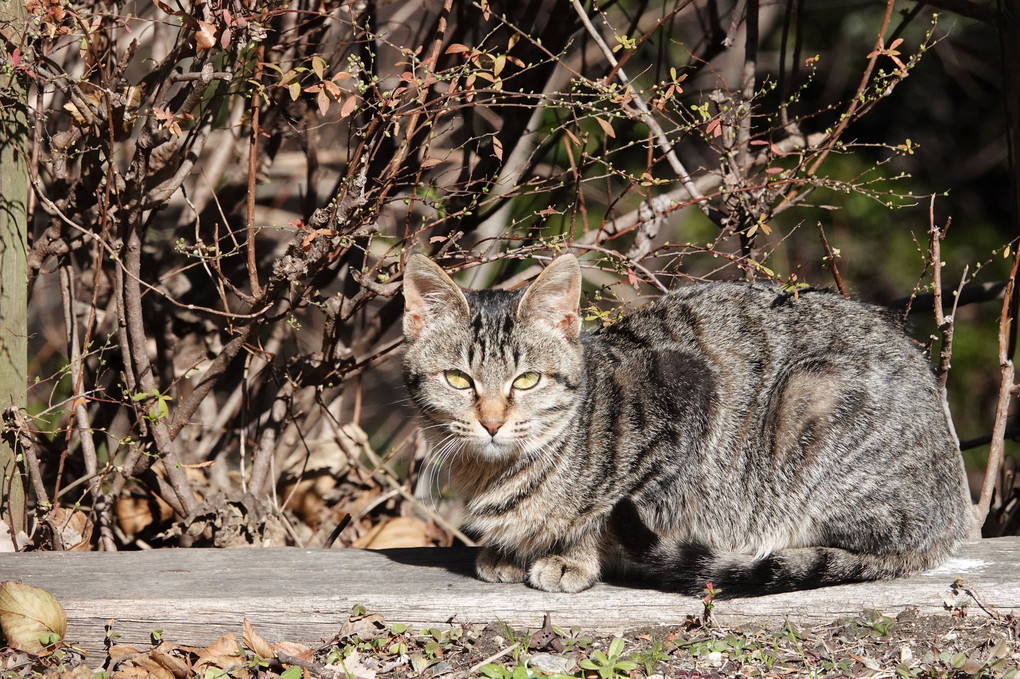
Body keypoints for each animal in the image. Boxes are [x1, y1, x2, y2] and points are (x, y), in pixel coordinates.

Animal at [397, 250, 971, 595]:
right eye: (458, 379)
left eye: (527, 380)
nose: (492, 423)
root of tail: (950, 520)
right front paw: (506, 550)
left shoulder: (686, 402)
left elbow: (606, 514)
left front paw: (570, 556)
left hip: (811, 397)